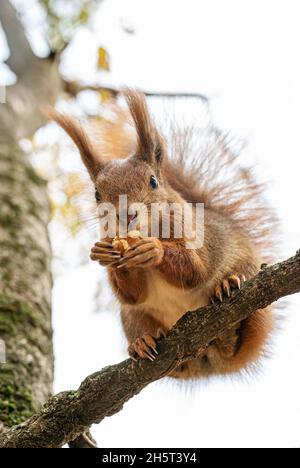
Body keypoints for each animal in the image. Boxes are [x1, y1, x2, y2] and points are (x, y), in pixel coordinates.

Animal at [49, 89, 276, 378]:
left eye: (153, 181)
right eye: (97, 194)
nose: (125, 215)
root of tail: (208, 363)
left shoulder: (198, 241)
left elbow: (195, 270)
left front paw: (153, 249)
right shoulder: (132, 292)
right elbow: (133, 294)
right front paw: (106, 253)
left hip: (250, 285)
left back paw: (228, 295)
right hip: (132, 317)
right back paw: (143, 342)